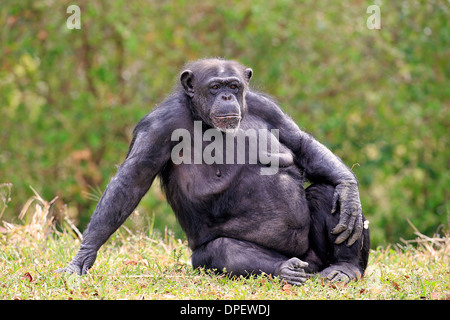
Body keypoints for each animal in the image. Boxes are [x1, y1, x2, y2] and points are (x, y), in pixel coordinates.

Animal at [58, 58, 370, 284]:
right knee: (223, 250)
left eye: (233, 86)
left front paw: (348, 188)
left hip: (316, 256)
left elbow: (300, 143)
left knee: (328, 193)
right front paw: (81, 258)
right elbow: (131, 181)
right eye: (214, 87)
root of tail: (309, 264)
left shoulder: (267, 107)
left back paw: (344, 265)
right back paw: (284, 269)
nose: (226, 98)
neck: (201, 117)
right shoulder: (159, 125)